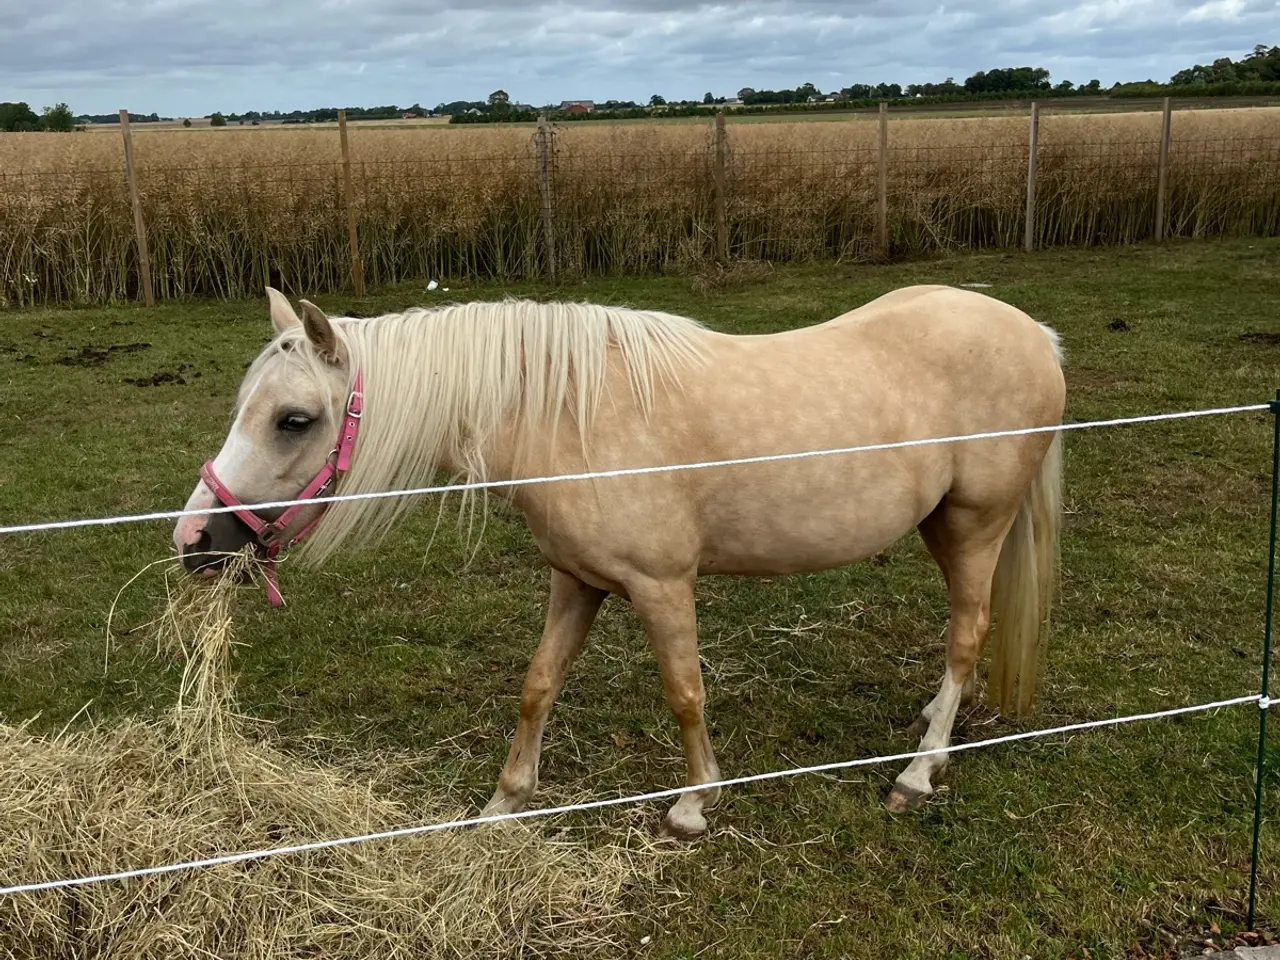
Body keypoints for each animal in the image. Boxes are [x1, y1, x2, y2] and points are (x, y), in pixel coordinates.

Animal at [172, 285, 1065, 839]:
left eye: (293, 419)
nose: (193, 542)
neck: (566, 417)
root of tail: (1036, 334)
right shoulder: (578, 582)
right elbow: (537, 686)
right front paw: (503, 805)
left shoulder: (661, 587)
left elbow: (684, 693)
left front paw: (693, 808)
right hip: (943, 527)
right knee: (964, 636)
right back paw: (933, 722)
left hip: (977, 525)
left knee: (967, 631)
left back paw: (918, 773)